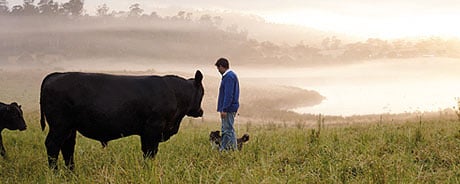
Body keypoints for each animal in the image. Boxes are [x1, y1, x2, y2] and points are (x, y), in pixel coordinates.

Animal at [40, 71, 204, 170]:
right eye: (202, 93)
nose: (200, 111)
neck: (175, 93)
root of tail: (57, 75)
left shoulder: (146, 132)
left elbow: (146, 152)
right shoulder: (153, 128)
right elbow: (150, 152)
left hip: (69, 128)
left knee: (67, 147)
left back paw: (71, 172)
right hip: (59, 125)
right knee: (53, 145)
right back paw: (55, 172)